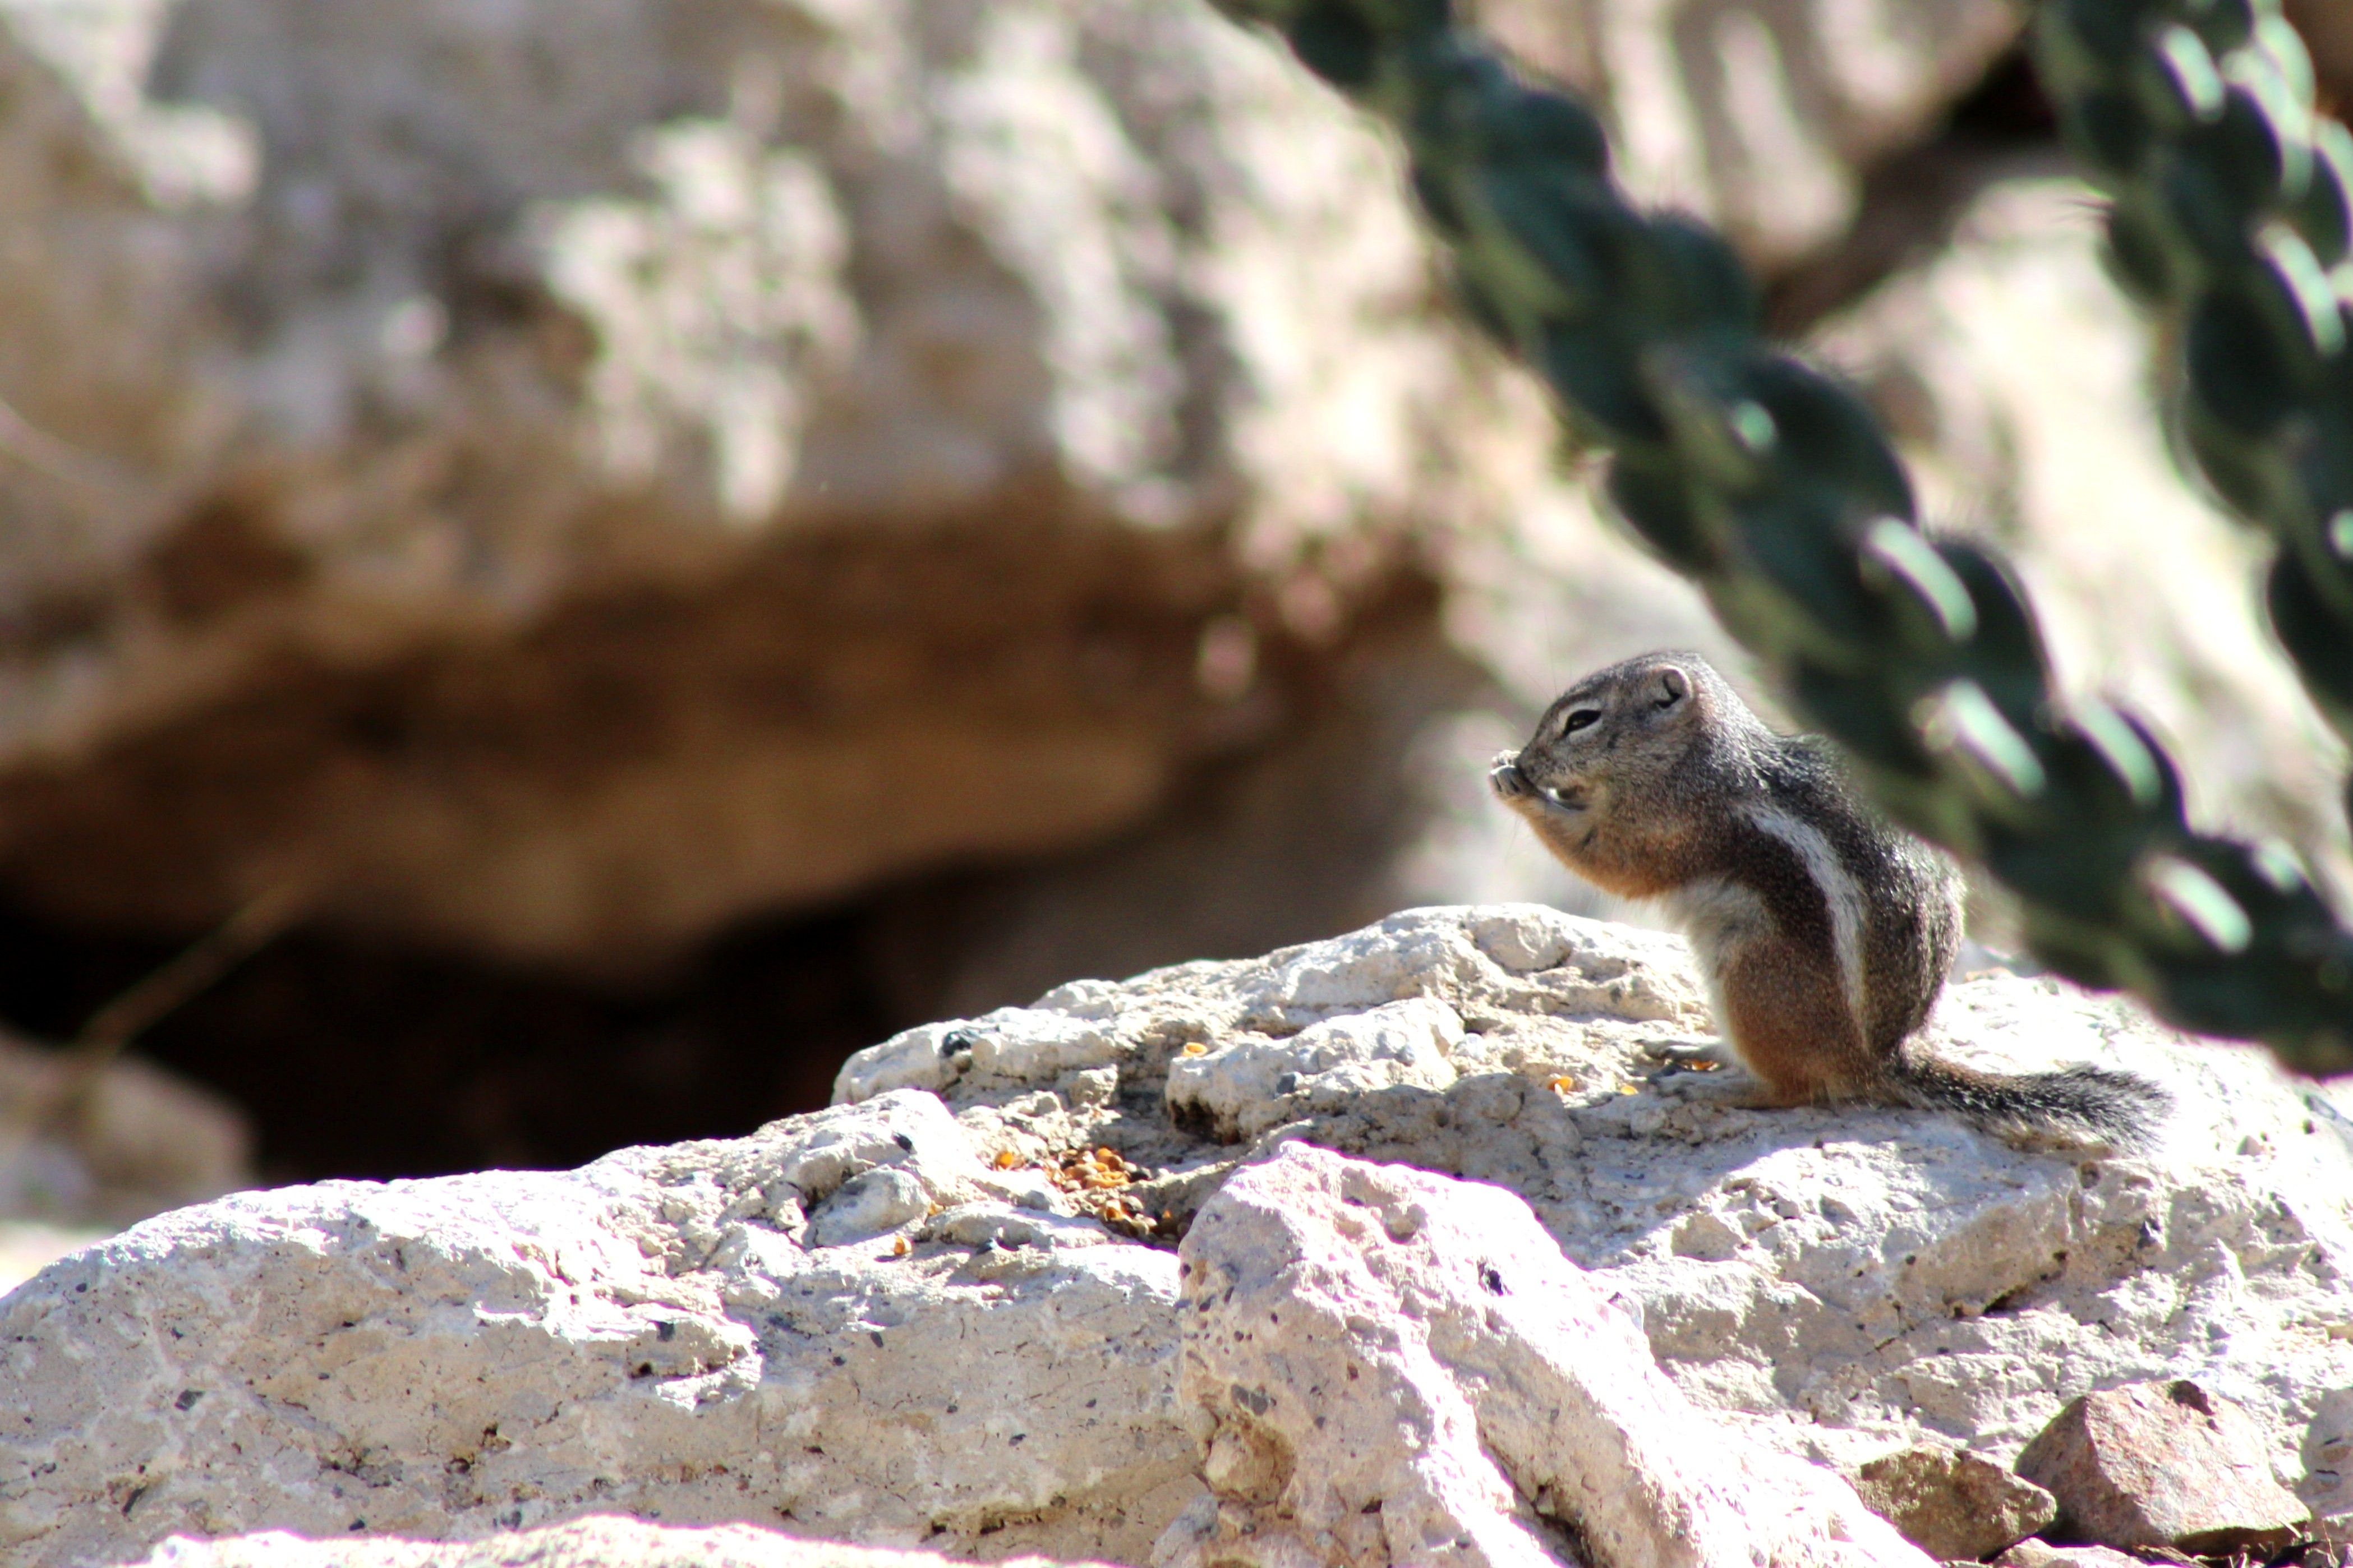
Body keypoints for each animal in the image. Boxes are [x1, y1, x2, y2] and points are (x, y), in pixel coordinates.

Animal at [1488, 650, 2169, 1148]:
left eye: (1581, 720)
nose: (1528, 759)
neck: (1694, 759)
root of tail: (1880, 1060)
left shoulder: (1668, 825)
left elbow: (1608, 864)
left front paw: (1516, 787)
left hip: (1754, 976)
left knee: (1795, 1088)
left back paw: (1717, 1090)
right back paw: (1697, 1049)